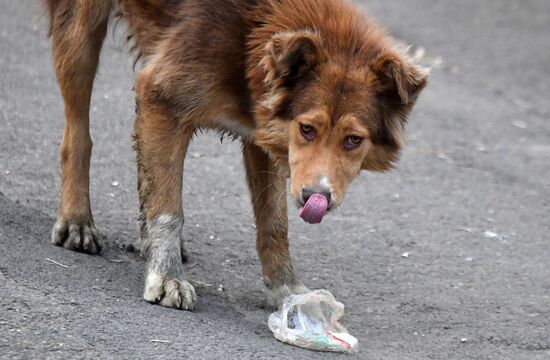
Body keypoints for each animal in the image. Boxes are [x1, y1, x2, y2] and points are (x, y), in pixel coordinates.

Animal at [45, 0, 430, 310]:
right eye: (307, 129)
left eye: (353, 140)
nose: (315, 198)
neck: (254, 28)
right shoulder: (161, 95)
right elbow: (169, 211)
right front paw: (167, 277)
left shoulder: (265, 134)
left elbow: (274, 224)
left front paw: (286, 289)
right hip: (81, 32)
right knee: (77, 135)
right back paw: (77, 220)